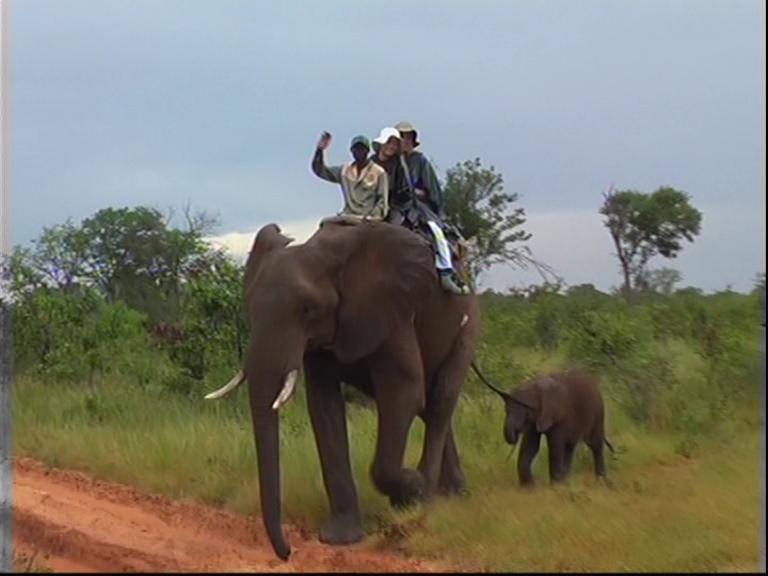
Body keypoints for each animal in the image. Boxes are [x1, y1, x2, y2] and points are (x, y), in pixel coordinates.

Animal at [204, 218, 479, 560]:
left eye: (308, 309)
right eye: (250, 306)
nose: (288, 552)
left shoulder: (392, 310)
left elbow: (404, 392)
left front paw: (409, 492)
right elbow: (324, 406)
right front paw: (339, 538)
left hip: (468, 321)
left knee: (440, 398)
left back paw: (428, 496)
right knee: (433, 408)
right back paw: (453, 494)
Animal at [479, 369, 614, 485]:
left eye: (525, 409)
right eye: (506, 410)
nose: (515, 435)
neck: (534, 384)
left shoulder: (558, 415)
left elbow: (555, 446)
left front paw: (556, 486)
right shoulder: (536, 419)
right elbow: (530, 447)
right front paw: (529, 488)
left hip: (598, 411)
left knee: (594, 444)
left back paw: (601, 481)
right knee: (570, 447)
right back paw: (568, 481)